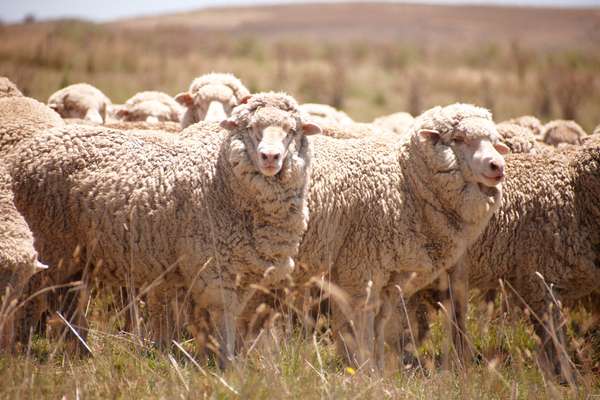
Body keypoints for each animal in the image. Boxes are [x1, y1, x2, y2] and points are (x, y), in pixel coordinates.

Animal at [9, 92, 322, 364]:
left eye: (292, 130)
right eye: (252, 128)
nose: (270, 157)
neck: (221, 181)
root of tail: (29, 150)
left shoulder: (247, 271)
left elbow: (234, 320)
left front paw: (229, 359)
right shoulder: (216, 269)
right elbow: (224, 319)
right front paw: (227, 364)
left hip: (74, 254)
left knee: (67, 299)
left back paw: (81, 351)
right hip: (48, 241)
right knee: (27, 300)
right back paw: (21, 350)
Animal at [288, 104, 508, 372]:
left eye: (495, 142)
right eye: (458, 139)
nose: (497, 165)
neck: (405, 182)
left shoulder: (393, 277)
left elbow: (379, 322)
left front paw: (377, 366)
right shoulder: (360, 268)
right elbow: (362, 320)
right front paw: (364, 367)